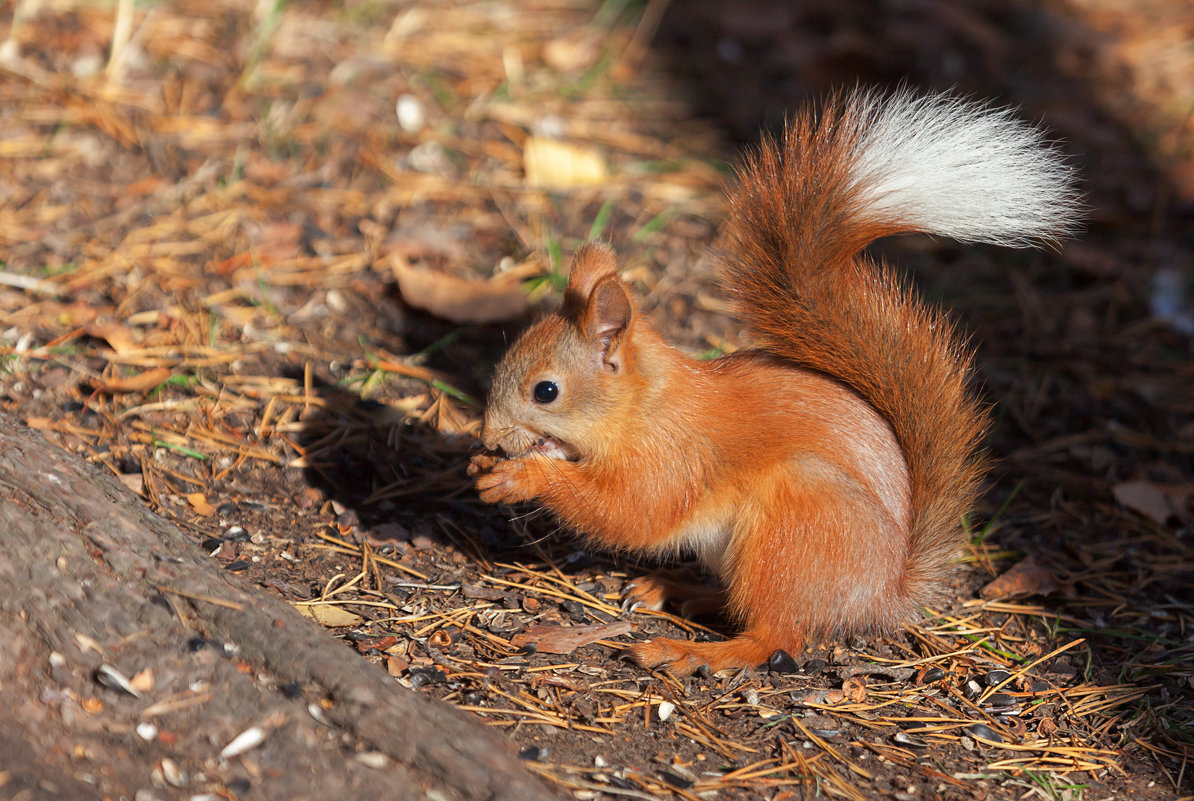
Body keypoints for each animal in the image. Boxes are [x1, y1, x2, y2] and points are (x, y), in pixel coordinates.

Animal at [468, 89, 1084, 678]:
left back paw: (693, 652)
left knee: (775, 636)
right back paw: (676, 588)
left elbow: (629, 512)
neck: (643, 406)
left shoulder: (672, 458)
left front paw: (522, 477)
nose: (490, 437)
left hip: (795, 522)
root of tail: (883, 594)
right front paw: (484, 464)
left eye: (546, 391)